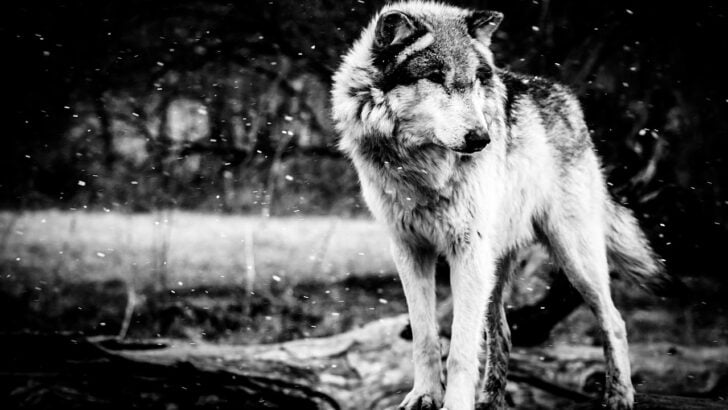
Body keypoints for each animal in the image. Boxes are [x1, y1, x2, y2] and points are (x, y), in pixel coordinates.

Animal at [331, 2, 665, 409]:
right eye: (435, 77)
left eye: (475, 80)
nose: (481, 138)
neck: (421, 168)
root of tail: (567, 97)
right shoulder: (409, 249)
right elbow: (425, 337)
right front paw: (424, 395)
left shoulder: (466, 250)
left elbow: (460, 350)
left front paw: (455, 404)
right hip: (495, 265)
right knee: (502, 332)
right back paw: (491, 401)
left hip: (572, 256)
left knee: (613, 320)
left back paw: (619, 395)